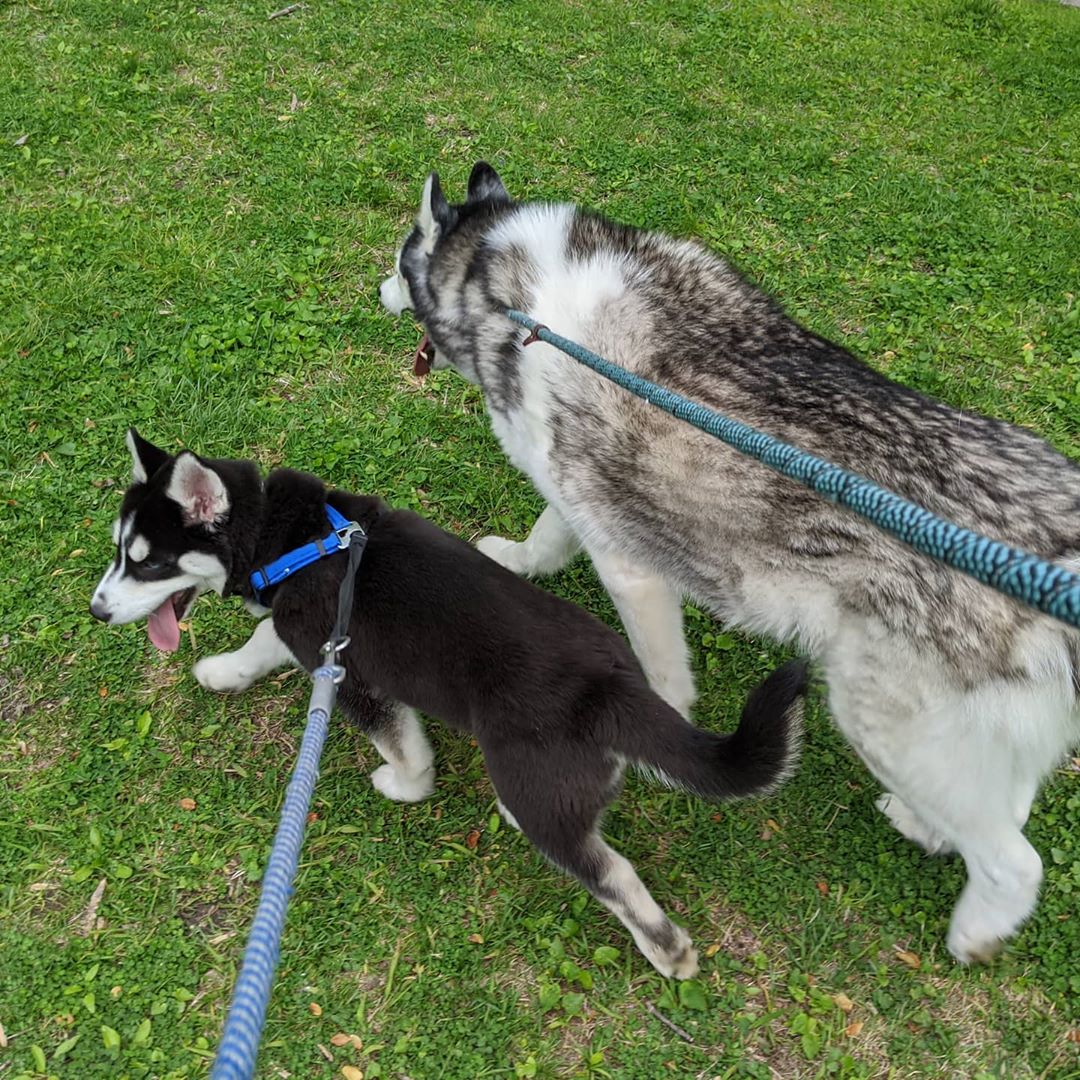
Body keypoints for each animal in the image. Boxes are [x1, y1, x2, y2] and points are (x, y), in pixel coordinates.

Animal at [90, 429, 803, 980]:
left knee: (614, 873)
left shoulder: (350, 670)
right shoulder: (306, 633)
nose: (96, 611)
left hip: (541, 789)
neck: (283, 538)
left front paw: (406, 785)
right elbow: (261, 644)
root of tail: (610, 687)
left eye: (147, 564)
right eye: (121, 553)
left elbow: (402, 745)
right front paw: (223, 671)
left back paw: (668, 951)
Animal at [380, 162, 1080, 963]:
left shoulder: (630, 567)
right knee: (1006, 804)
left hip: (881, 718)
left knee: (1015, 860)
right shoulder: (576, 500)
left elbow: (662, 681)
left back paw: (975, 931)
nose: (376, 289)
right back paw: (923, 826)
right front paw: (520, 560)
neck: (512, 298)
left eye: (398, 258)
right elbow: (546, 537)